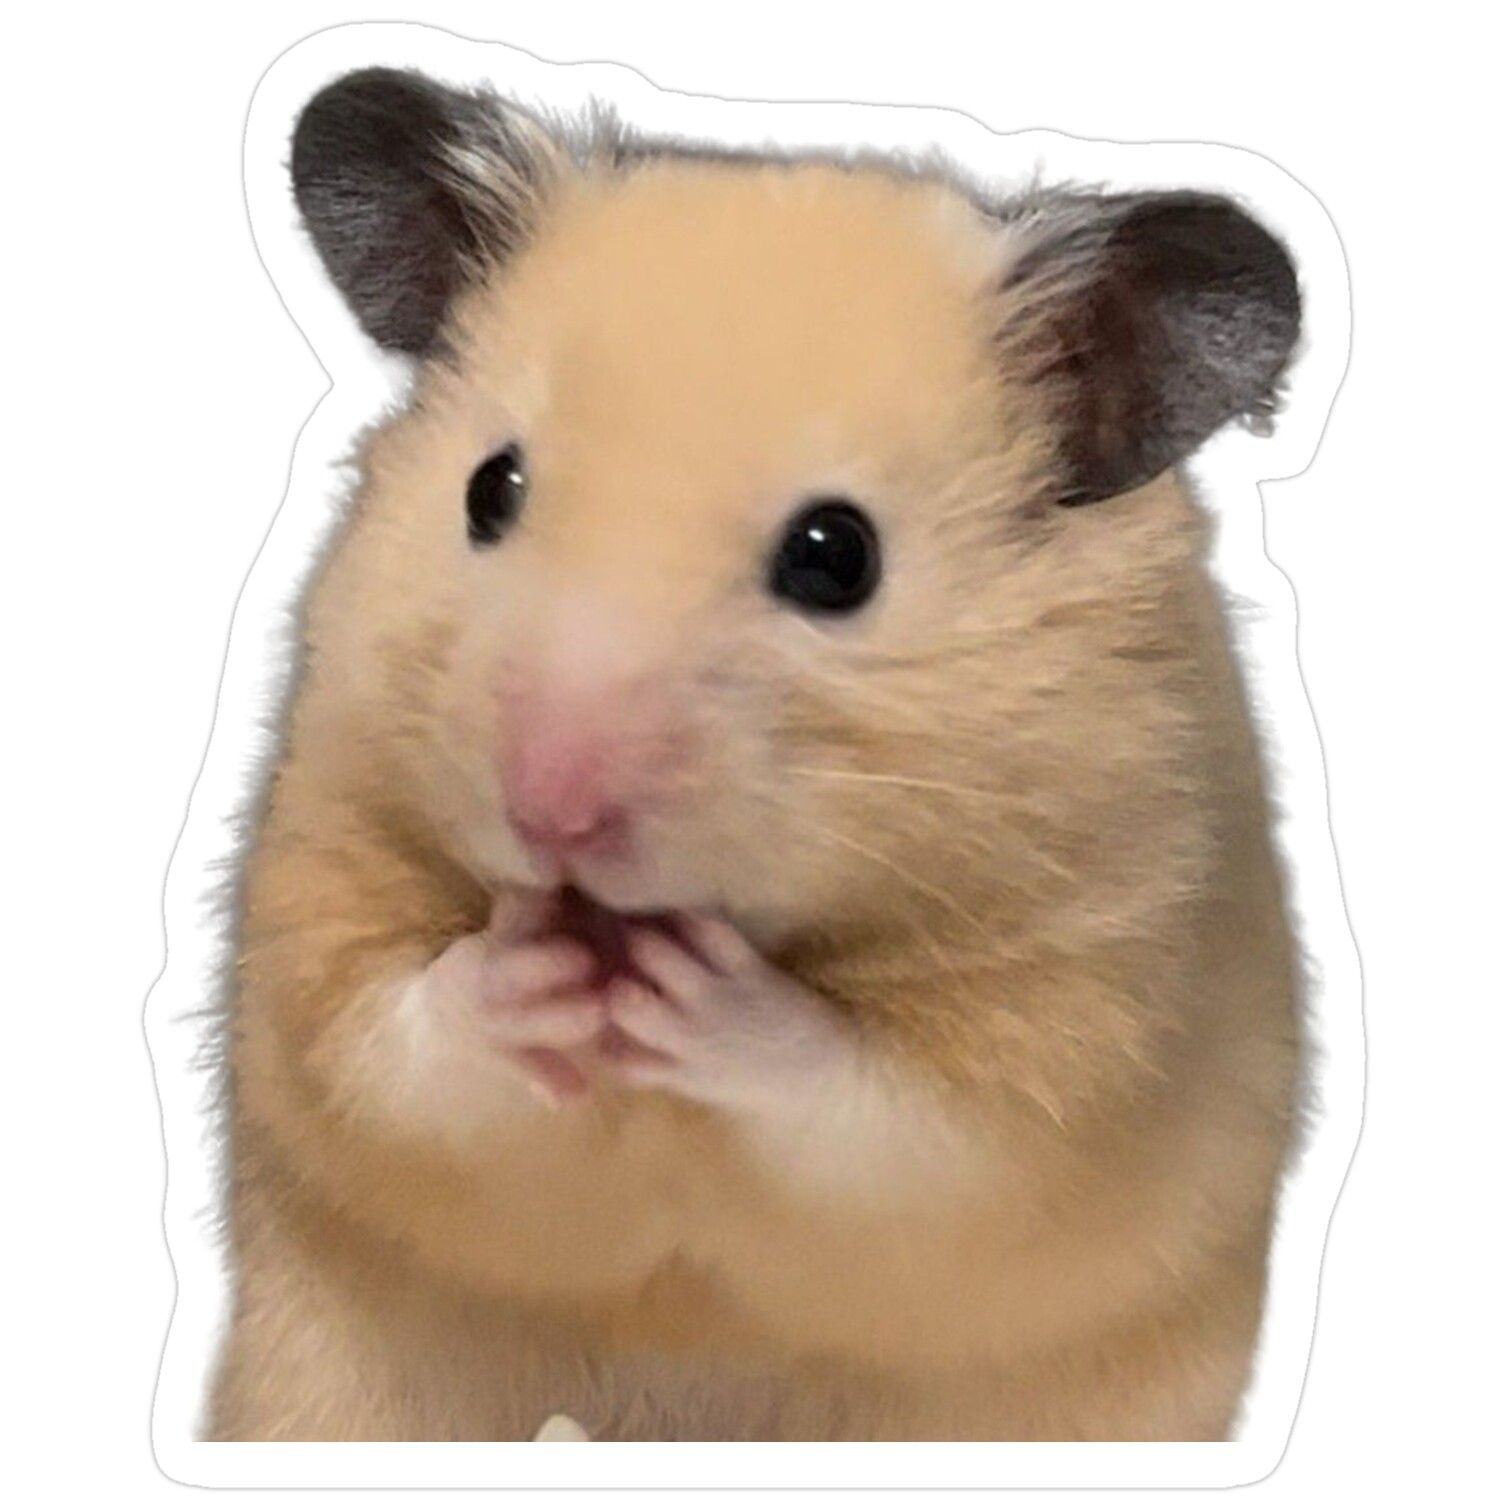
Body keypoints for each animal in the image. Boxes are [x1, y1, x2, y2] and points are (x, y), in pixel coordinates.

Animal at [207, 67, 1304, 1441]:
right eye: (490, 489)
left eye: (837, 557)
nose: (550, 813)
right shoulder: (322, 870)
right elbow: (383, 1046)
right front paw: (533, 969)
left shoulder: (1088, 1017)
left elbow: (893, 1120)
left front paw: (697, 990)